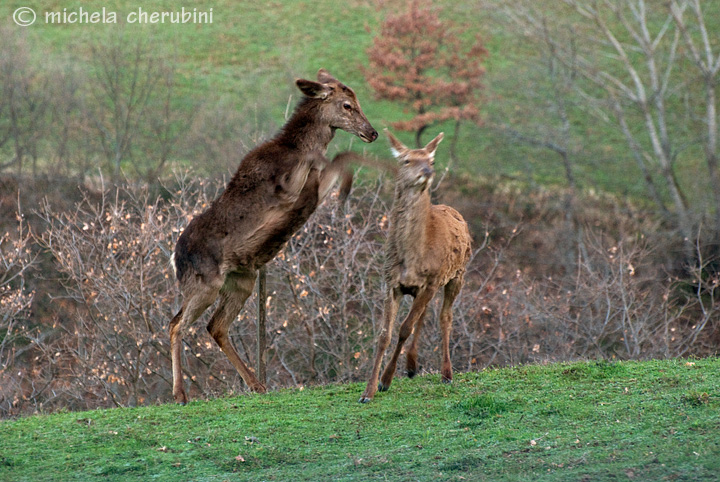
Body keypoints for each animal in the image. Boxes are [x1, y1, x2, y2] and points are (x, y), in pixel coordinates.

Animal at [171, 69, 380, 404]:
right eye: (347, 105)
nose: (372, 133)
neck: (293, 148)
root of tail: (175, 258)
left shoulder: (310, 191)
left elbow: (339, 157)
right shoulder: (287, 190)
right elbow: (327, 158)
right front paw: (348, 186)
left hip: (242, 279)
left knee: (215, 326)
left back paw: (256, 384)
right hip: (204, 281)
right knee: (176, 323)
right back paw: (180, 393)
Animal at [360, 130, 472, 404]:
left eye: (431, 161)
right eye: (406, 160)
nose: (428, 171)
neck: (413, 259)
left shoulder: (431, 281)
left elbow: (404, 328)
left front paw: (386, 380)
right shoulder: (392, 283)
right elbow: (384, 335)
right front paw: (368, 391)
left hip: (457, 275)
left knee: (444, 317)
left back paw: (446, 373)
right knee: (424, 314)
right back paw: (412, 365)